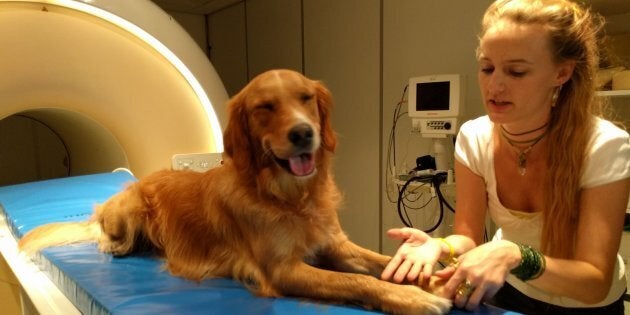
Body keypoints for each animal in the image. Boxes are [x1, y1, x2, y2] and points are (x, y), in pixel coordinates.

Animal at [19, 70, 452, 314]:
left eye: (306, 98)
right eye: (265, 107)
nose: (303, 133)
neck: (288, 196)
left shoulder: (336, 246)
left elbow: (384, 262)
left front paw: (432, 279)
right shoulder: (282, 270)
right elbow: (358, 282)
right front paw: (415, 299)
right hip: (129, 208)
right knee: (104, 236)